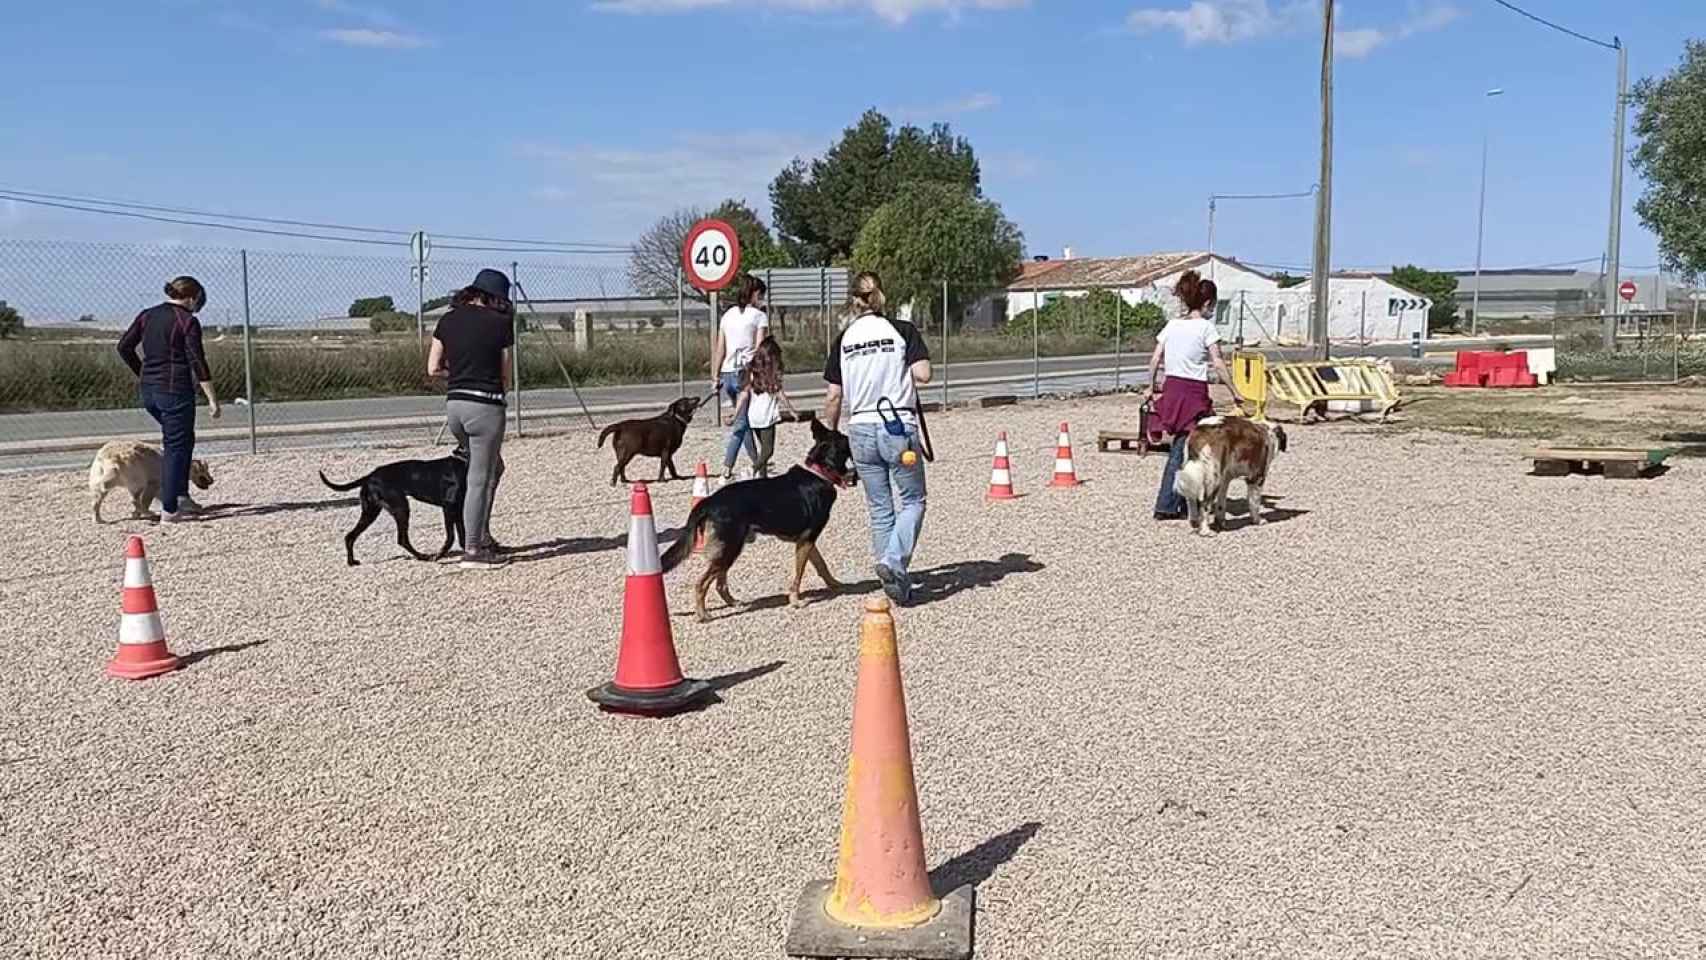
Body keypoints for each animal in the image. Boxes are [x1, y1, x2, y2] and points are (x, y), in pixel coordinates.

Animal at [661, 421, 859, 624]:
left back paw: (734, 603)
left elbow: (821, 565)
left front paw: (835, 584)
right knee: (701, 583)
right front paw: (795, 600)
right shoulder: (806, 540)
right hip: (729, 547)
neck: (820, 471)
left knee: (719, 584)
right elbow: (799, 574)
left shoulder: (807, 541)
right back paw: (702, 614)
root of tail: (709, 501)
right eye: (845, 439)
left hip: (730, 549)